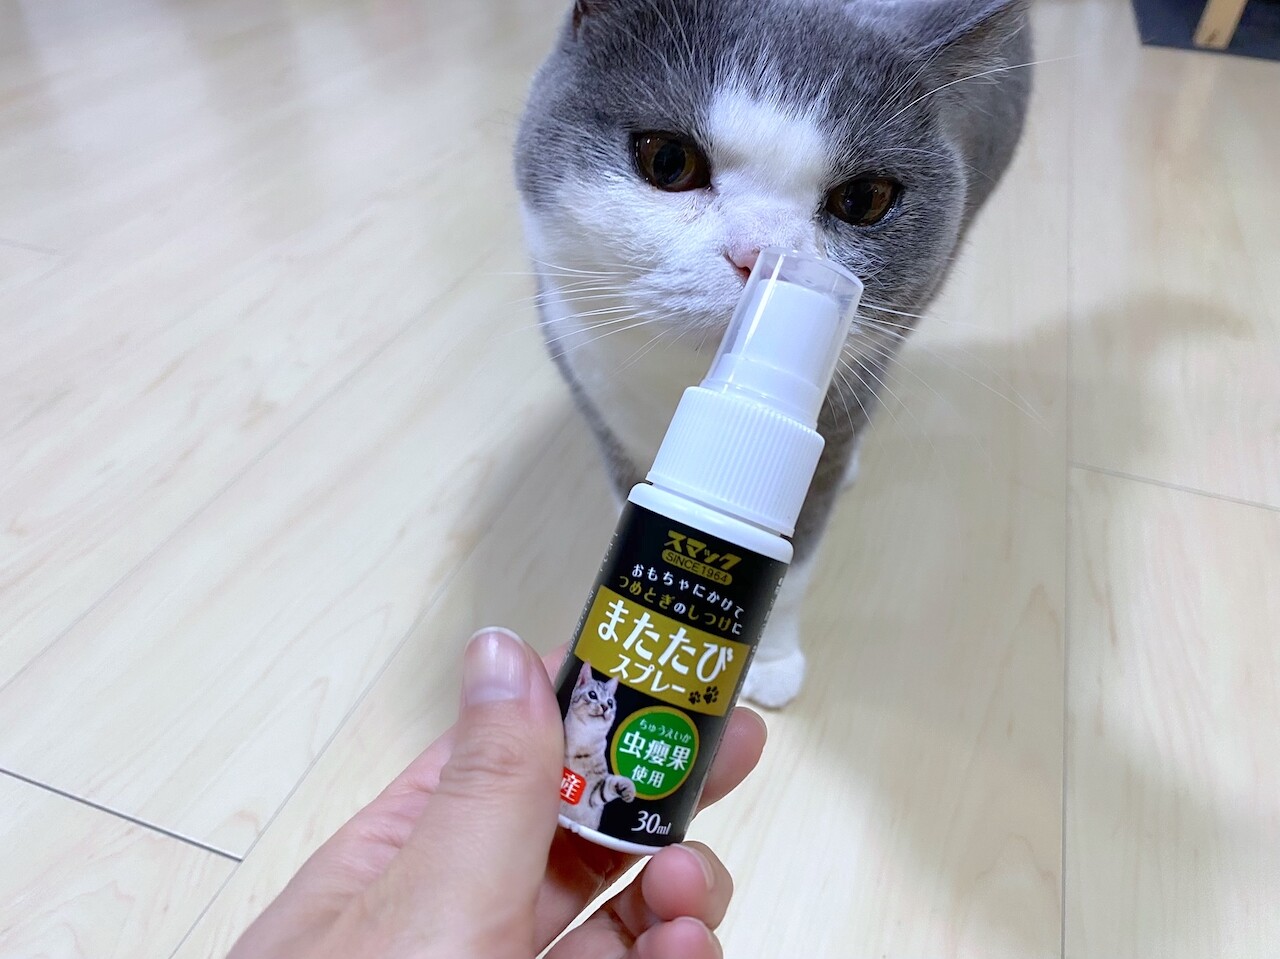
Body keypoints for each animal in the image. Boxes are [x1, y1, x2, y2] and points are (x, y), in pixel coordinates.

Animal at [516, 0, 1032, 707]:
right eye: (668, 160)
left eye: (864, 200)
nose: (764, 257)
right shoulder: (593, 386)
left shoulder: (838, 408)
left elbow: (800, 555)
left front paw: (772, 661)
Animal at [561, 661, 637, 829]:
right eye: (592, 695)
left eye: (610, 702)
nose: (605, 707)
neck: (583, 737)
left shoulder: (593, 794)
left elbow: (607, 786)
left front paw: (627, 787)